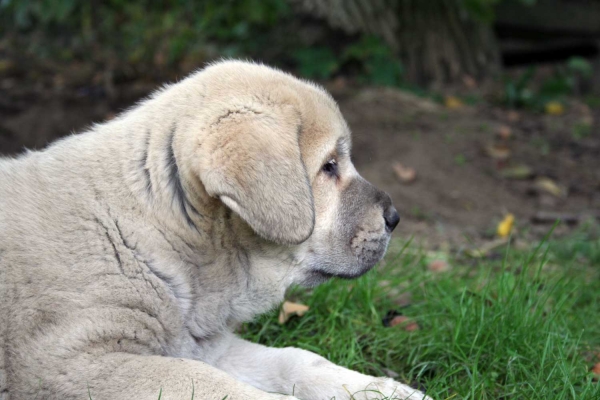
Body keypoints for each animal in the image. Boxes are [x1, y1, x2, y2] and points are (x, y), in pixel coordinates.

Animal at [1, 60, 432, 400]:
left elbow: (297, 360)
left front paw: (385, 390)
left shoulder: (205, 345)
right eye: (329, 166)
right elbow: (205, 382)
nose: (394, 217)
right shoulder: (77, 363)